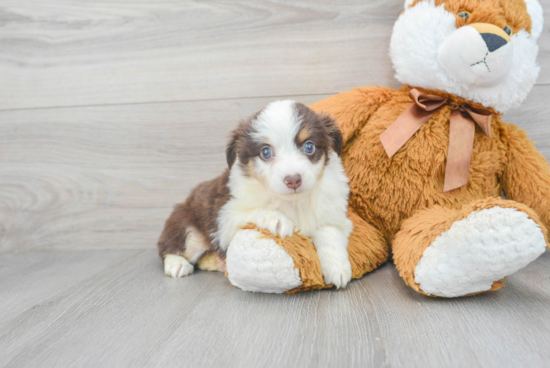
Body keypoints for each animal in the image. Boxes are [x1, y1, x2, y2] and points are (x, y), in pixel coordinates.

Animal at [156, 100, 354, 288]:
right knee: (168, 247)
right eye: (265, 152)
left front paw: (337, 267)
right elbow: (256, 211)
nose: (293, 180)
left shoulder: (334, 216)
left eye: (309, 147)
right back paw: (177, 263)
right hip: (188, 228)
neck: (293, 202)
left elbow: (329, 233)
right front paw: (277, 219)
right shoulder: (225, 217)